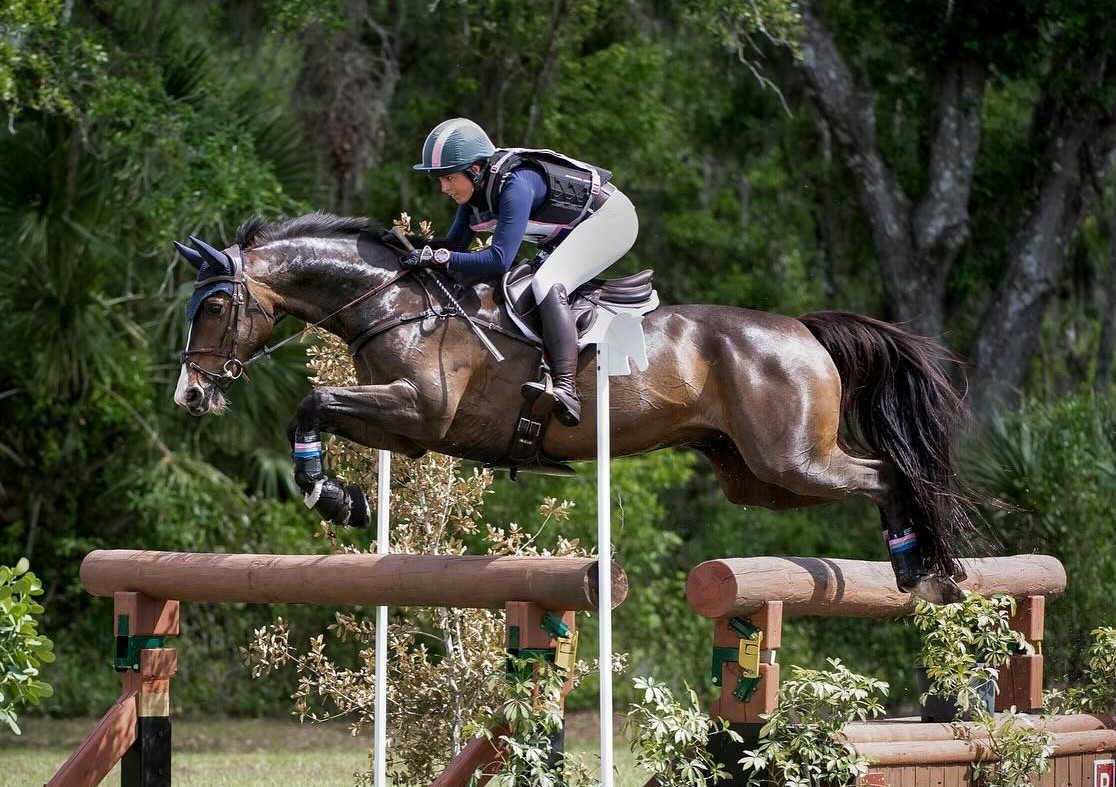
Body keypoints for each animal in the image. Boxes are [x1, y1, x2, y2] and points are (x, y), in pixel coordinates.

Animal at [173, 211, 978, 603]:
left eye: (212, 305)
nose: (191, 394)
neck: (395, 303)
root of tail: (802, 329)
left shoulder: (419, 410)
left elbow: (311, 399)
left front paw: (329, 494)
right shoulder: (406, 430)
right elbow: (315, 411)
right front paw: (341, 496)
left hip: (794, 459)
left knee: (888, 472)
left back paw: (922, 571)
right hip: (754, 476)